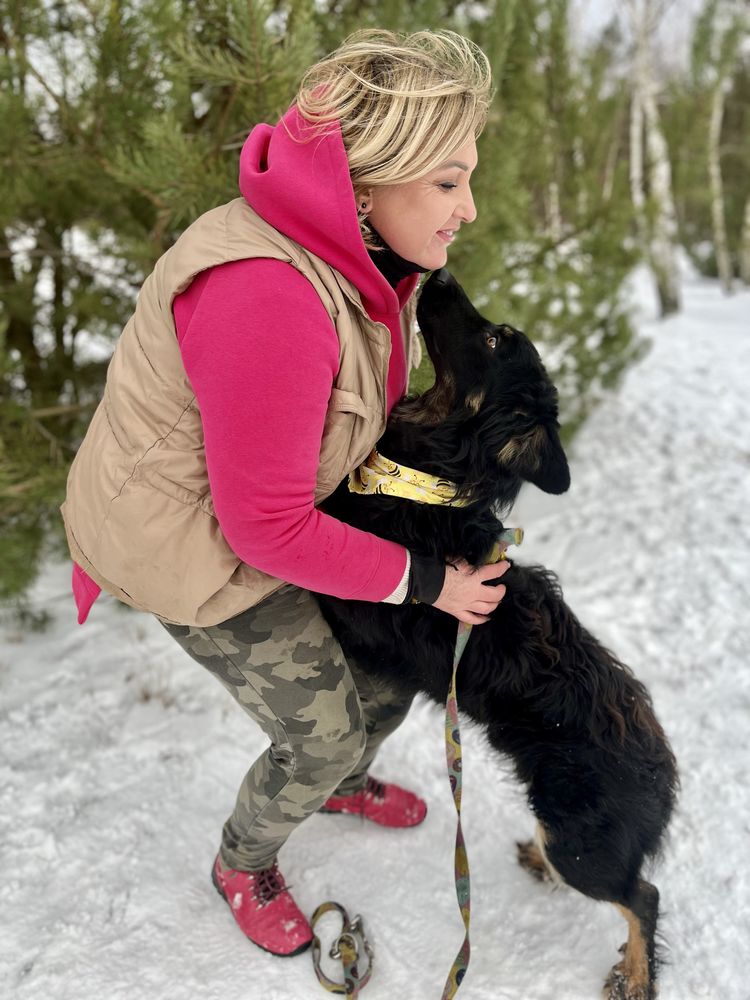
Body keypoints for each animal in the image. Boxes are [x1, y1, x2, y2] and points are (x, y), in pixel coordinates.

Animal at [318, 270, 680, 1000]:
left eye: (492, 338)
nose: (437, 272)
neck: (422, 487)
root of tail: (663, 779)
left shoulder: (359, 601)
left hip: (582, 846)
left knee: (643, 897)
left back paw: (633, 974)